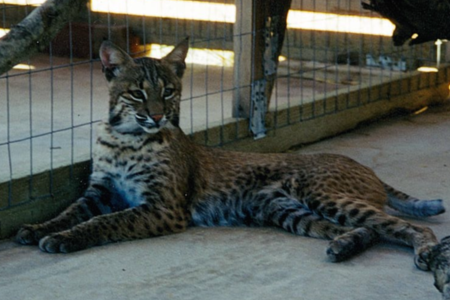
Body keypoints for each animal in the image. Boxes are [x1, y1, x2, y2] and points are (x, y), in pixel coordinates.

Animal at [15, 38, 450, 298]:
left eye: (168, 92)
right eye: (137, 94)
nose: (157, 116)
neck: (127, 136)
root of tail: (363, 165)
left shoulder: (163, 207)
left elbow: (105, 222)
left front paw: (64, 239)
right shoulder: (100, 189)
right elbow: (69, 212)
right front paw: (38, 228)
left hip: (321, 194)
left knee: (406, 226)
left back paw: (427, 253)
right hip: (280, 208)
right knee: (365, 230)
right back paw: (343, 246)